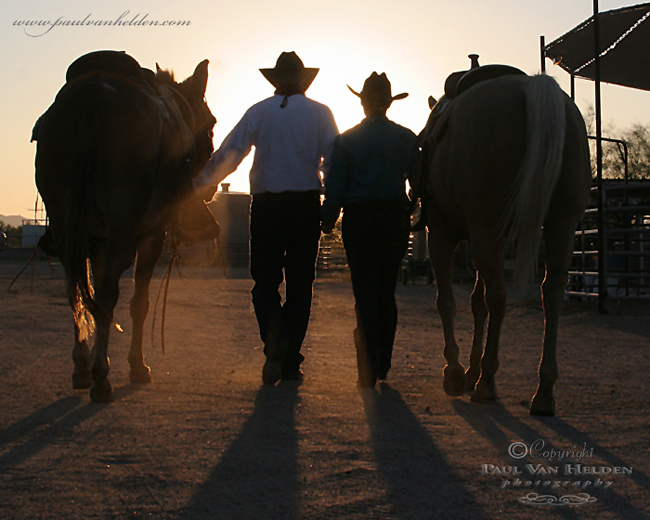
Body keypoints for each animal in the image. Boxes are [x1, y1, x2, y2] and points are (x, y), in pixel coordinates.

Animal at [33, 50, 216, 402]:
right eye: (211, 124)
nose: (211, 188)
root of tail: (91, 103)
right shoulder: (150, 235)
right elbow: (138, 303)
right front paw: (136, 365)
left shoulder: (98, 239)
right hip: (123, 229)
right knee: (105, 295)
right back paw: (101, 377)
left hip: (66, 225)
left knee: (75, 290)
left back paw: (82, 367)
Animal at [420, 66, 592, 414]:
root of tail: (530, 85)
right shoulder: (482, 238)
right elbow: (476, 303)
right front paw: (470, 371)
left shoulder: (444, 233)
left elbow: (448, 301)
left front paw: (456, 372)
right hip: (561, 225)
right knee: (551, 292)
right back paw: (543, 390)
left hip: (486, 228)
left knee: (498, 295)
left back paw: (487, 382)